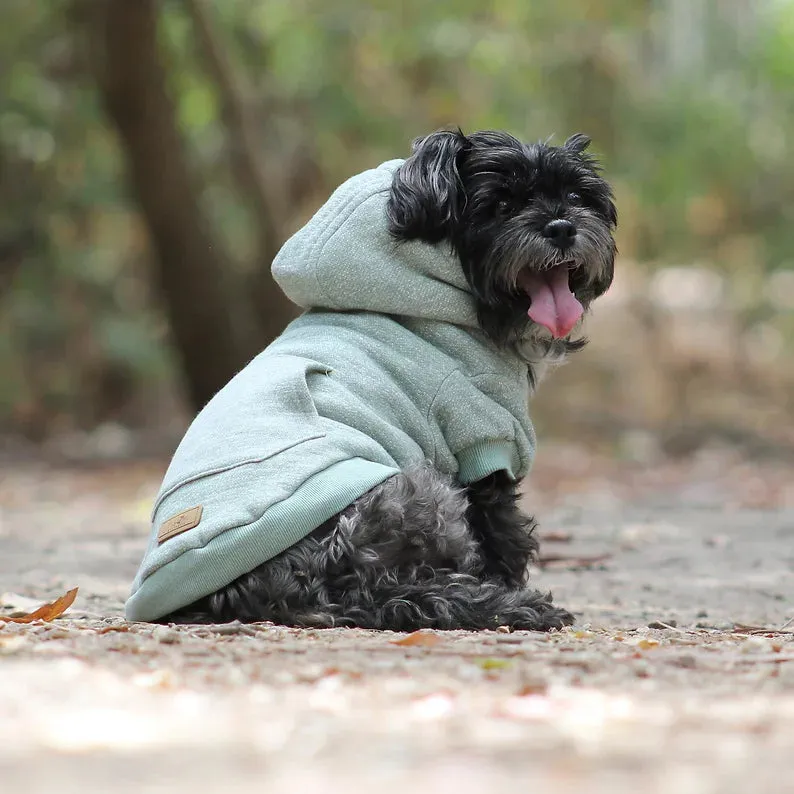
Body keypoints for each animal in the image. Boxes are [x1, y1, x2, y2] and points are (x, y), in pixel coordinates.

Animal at [128, 127, 612, 628]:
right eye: (501, 204)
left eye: (576, 196)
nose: (561, 227)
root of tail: (250, 592)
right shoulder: (485, 443)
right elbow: (503, 538)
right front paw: (510, 588)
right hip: (415, 493)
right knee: (397, 592)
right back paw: (502, 605)